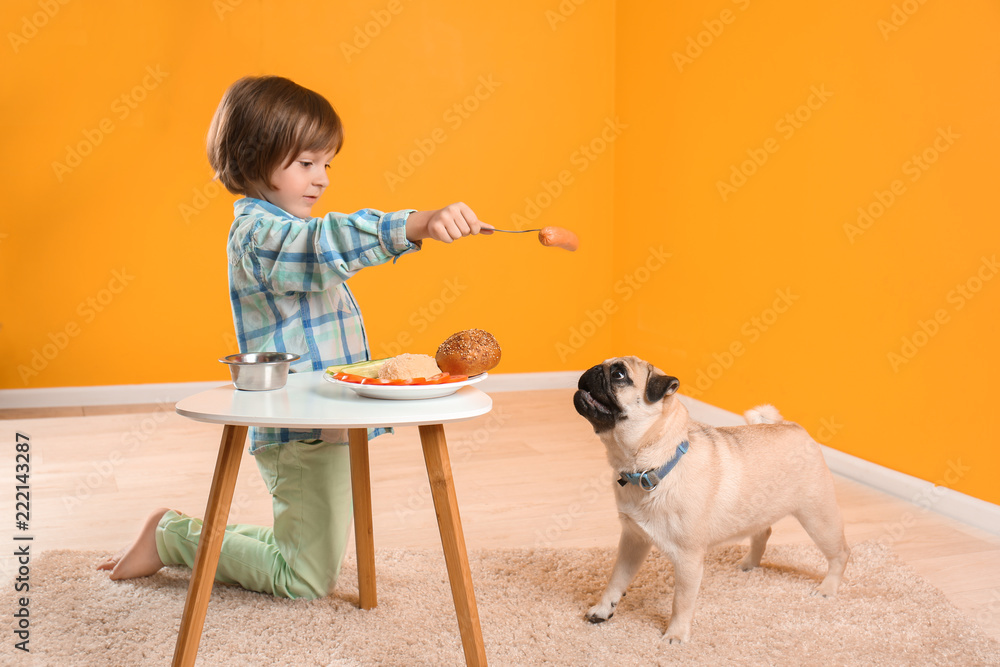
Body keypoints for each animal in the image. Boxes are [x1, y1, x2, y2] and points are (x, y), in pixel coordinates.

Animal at [576, 358, 848, 644]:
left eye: (619, 375)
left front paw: (676, 634)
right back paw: (749, 564)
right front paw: (603, 609)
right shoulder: (633, 540)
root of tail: (794, 427)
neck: (653, 466)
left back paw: (828, 588)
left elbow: (681, 601)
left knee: (840, 554)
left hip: (818, 518)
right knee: (763, 533)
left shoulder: (688, 559)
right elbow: (616, 579)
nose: (594, 369)